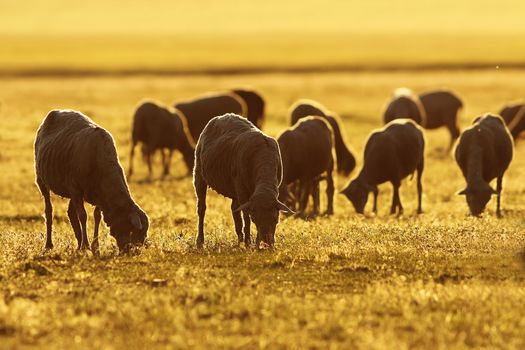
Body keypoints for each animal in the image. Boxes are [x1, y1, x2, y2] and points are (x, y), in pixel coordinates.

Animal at [34, 110, 149, 254]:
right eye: (133, 231)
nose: (133, 252)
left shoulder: (99, 194)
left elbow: (96, 216)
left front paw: (95, 246)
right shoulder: (75, 188)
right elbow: (83, 216)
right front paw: (87, 245)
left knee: (71, 212)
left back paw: (79, 243)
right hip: (42, 181)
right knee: (49, 211)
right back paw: (50, 244)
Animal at [192, 113, 292, 247]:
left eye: (276, 219)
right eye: (255, 219)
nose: (266, 243)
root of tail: (222, 116)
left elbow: (242, 214)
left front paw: (251, 242)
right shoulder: (242, 189)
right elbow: (246, 217)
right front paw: (248, 243)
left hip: (234, 188)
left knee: (234, 210)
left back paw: (239, 240)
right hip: (199, 173)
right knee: (201, 209)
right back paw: (200, 241)